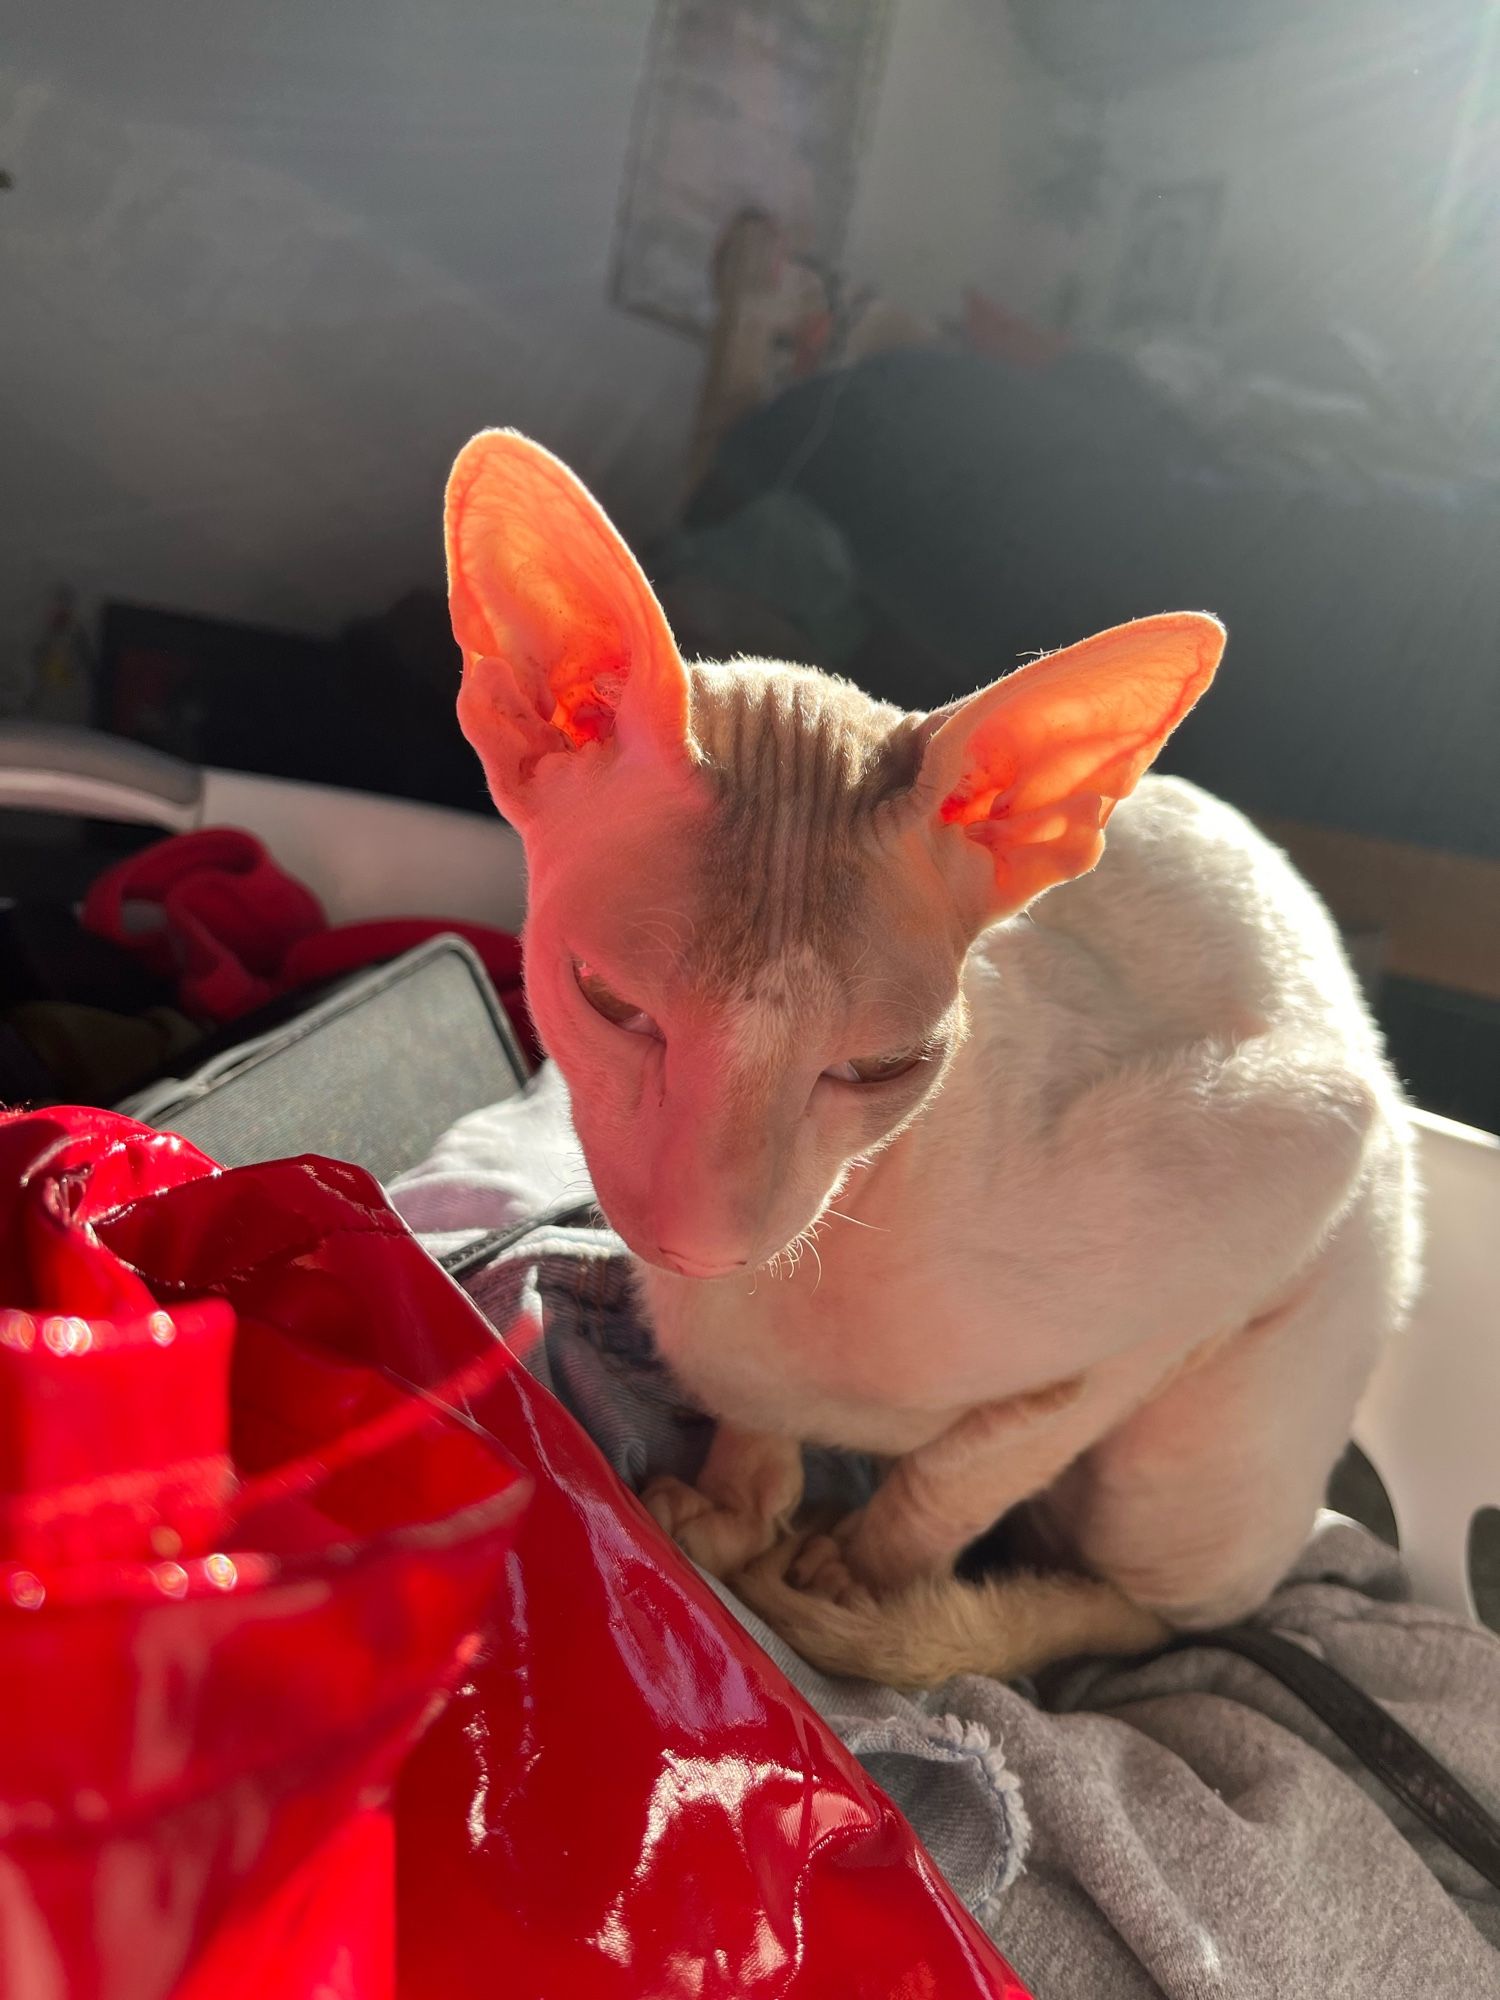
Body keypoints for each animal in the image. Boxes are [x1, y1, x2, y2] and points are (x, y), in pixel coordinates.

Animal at [444, 426, 1424, 1688]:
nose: (705, 1237)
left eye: (884, 1067)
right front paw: (741, 1499)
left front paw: (860, 1573)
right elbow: (758, 1415)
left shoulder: (1275, 1176)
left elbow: (976, 1458)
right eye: (611, 1002)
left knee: (1151, 1609)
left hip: (1223, 1430)